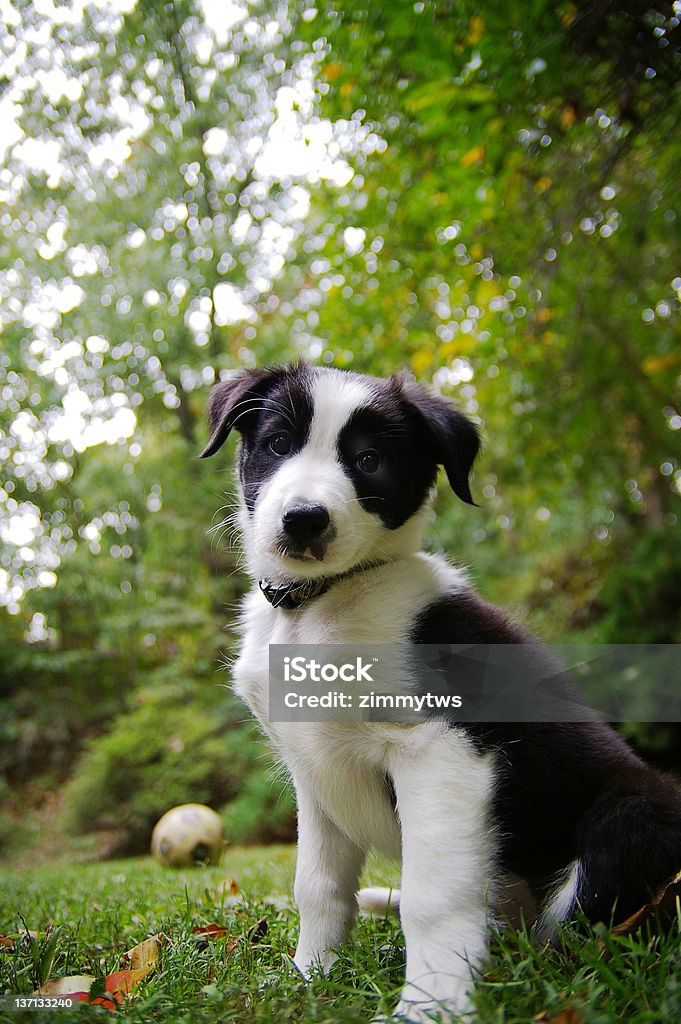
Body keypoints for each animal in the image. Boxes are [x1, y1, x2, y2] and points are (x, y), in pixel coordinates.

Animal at [199, 364, 679, 1019]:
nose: (304, 519)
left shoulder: (441, 750)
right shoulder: (313, 771)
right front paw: (310, 978)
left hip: (637, 809)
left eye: (369, 460)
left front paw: (432, 1004)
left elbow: (435, 895)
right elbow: (317, 886)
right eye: (277, 444)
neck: (319, 606)